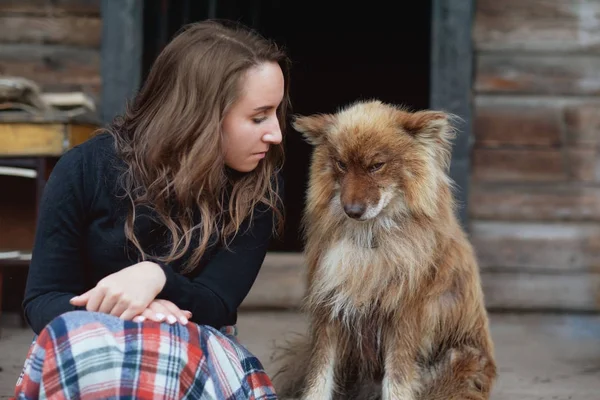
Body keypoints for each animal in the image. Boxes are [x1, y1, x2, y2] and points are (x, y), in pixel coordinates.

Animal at [274, 98, 496, 398]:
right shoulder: (329, 309)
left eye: (376, 165)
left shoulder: (403, 317)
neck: (370, 240)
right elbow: (320, 376)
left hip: (458, 359)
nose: (352, 211)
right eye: (341, 164)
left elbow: (397, 380)